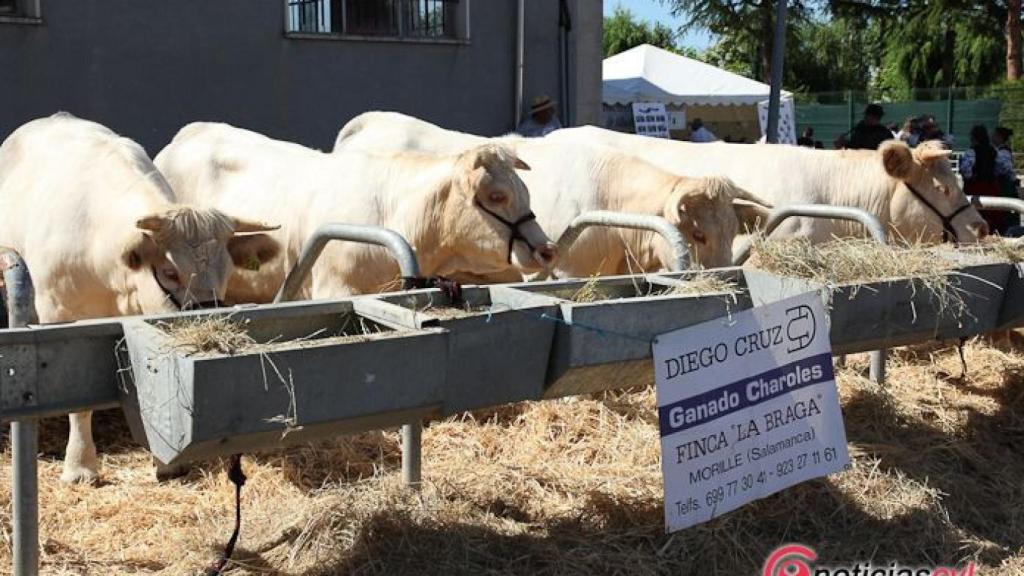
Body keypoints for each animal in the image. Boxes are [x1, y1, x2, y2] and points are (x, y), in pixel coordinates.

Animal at [0, 112, 280, 479]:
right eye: (170, 272)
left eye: (226, 272)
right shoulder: (58, 316)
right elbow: (79, 403)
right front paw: (80, 466)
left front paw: (166, 462)